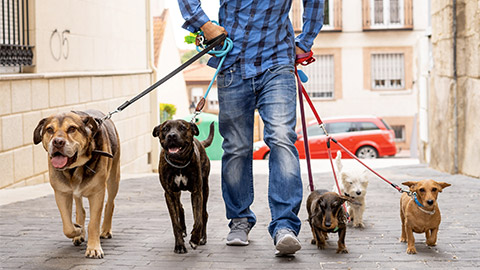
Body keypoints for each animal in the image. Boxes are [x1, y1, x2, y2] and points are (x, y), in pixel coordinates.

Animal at [152, 119, 214, 253]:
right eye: (165, 129)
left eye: (182, 128)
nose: (172, 136)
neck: (179, 163)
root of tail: (200, 143)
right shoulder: (169, 194)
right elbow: (175, 223)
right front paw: (180, 245)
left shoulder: (197, 192)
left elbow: (198, 219)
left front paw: (195, 239)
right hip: (177, 193)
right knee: (180, 208)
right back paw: (184, 230)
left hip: (205, 188)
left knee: (204, 214)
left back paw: (202, 237)